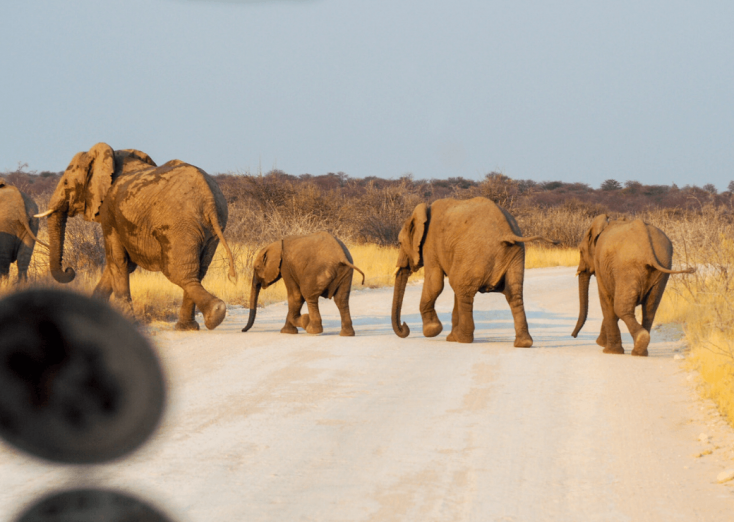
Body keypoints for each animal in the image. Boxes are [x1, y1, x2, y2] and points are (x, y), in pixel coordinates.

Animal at [35, 142, 236, 330]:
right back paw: (190, 325)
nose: (69, 270)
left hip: (179, 225)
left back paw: (214, 313)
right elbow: (120, 264)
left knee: (179, 272)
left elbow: (117, 261)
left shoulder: (109, 211)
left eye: (66, 183)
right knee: (198, 271)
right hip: (212, 229)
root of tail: (209, 199)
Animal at [392, 197, 556, 344]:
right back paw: (523, 343)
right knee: (513, 294)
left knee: (461, 289)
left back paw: (462, 339)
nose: (405, 326)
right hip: (516, 255)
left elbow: (435, 284)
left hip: (476, 252)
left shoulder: (431, 246)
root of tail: (507, 233)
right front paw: (445, 335)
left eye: (399, 243)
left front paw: (432, 330)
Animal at [576, 213, 696, 356]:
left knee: (621, 307)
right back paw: (640, 351)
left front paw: (609, 351)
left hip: (627, 267)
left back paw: (639, 343)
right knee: (650, 309)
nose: (573, 336)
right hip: (662, 266)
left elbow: (607, 300)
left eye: (581, 251)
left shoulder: (601, 265)